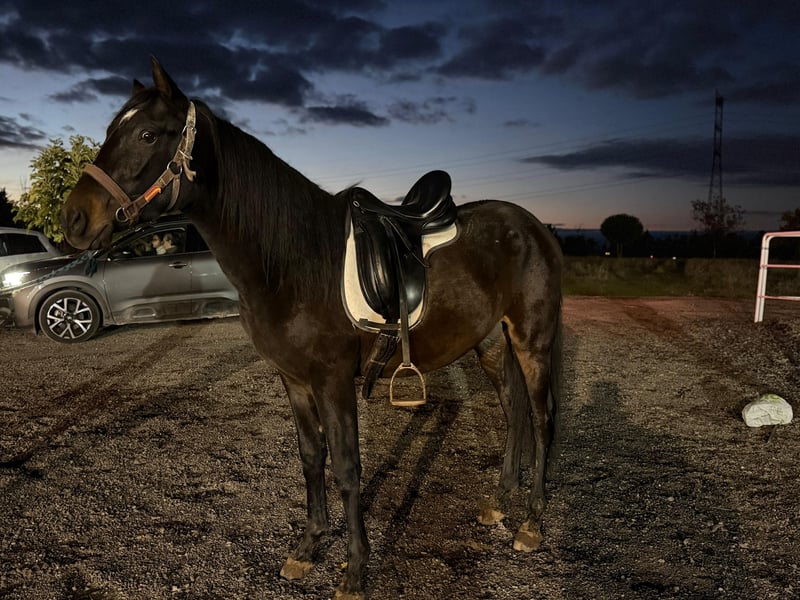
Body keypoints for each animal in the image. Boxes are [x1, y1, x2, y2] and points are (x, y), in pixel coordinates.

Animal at [60, 58, 563, 600]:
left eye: (148, 134)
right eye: (110, 130)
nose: (73, 218)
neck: (290, 261)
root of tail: (533, 226)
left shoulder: (332, 380)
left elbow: (345, 466)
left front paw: (355, 571)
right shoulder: (294, 378)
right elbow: (310, 456)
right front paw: (307, 547)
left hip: (532, 340)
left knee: (541, 416)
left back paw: (532, 522)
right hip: (490, 341)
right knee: (513, 410)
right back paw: (501, 502)